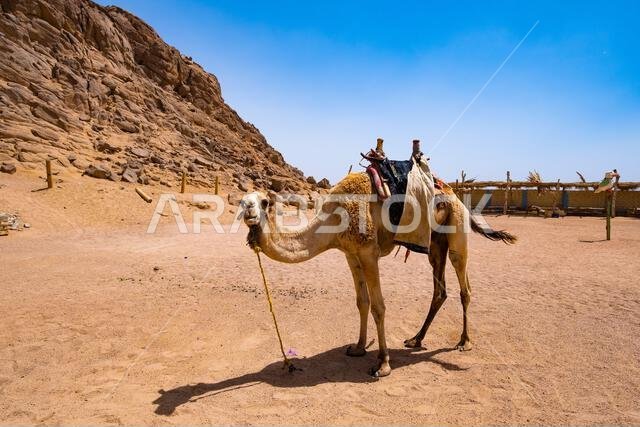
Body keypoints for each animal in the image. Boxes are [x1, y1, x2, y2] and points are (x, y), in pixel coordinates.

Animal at [242, 172, 516, 377]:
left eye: (264, 202)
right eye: (244, 202)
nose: (249, 213)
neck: (335, 219)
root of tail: (454, 195)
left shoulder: (368, 253)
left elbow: (378, 306)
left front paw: (383, 364)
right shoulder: (351, 255)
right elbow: (361, 302)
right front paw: (358, 348)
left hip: (457, 231)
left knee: (464, 286)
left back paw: (464, 342)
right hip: (435, 244)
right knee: (440, 290)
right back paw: (415, 340)